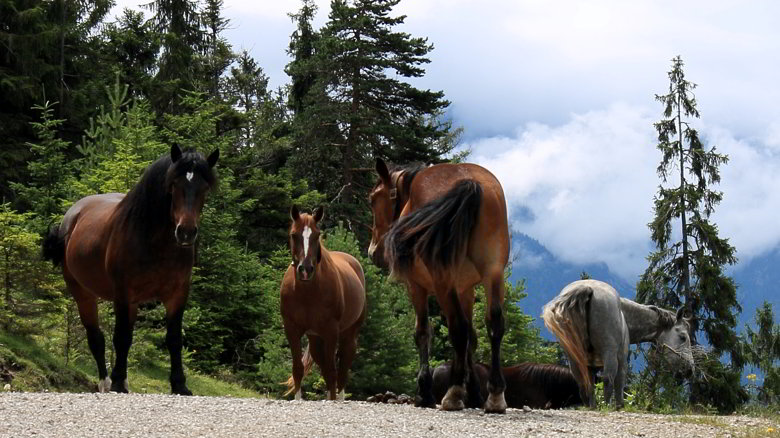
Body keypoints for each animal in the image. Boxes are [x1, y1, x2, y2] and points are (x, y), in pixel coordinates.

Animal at [43, 145, 219, 396]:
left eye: (204, 187)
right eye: (174, 184)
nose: (186, 232)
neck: (155, 243)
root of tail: (72, 216)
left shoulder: (177, 294)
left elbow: (174, 339)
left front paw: (179, 384)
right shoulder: (122, 294)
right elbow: (121, 337)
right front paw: (117, 382)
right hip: (82, 292)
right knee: (96, 338)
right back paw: (106, 382)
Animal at [280, 205, 366, 400]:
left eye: (317, 235)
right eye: (293, 234)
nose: (305, 270)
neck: (307, 293)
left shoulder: (331, 331)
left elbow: (332, 371)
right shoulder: (292, 329)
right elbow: (298, 369)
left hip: (348, 334)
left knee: (341, 369)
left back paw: (338, 398)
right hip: (315, 339)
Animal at [370, 159, 512, 412]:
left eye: (372, 199)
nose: (373, 251)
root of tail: (469, 182)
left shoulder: (416, 286)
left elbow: (423, 332)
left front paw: (424, 393)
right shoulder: (466, 289)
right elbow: (472, 338)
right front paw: (474, 394)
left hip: (442, 280)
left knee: (458, 328)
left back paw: (453, 393)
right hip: (493, 272)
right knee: (494, 325)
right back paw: (495, 395)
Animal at [544, 278, 696, 408]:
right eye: (683, 337)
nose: (690, 369)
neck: (624, 313)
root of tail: (587, 289)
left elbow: (591, 385)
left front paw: (593, 407)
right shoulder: (622, 358)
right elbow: (619, 383)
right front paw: (619, 406)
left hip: (574, 357)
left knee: (582, 383)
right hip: (609, 353)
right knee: (608, 379)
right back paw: (606, 406)